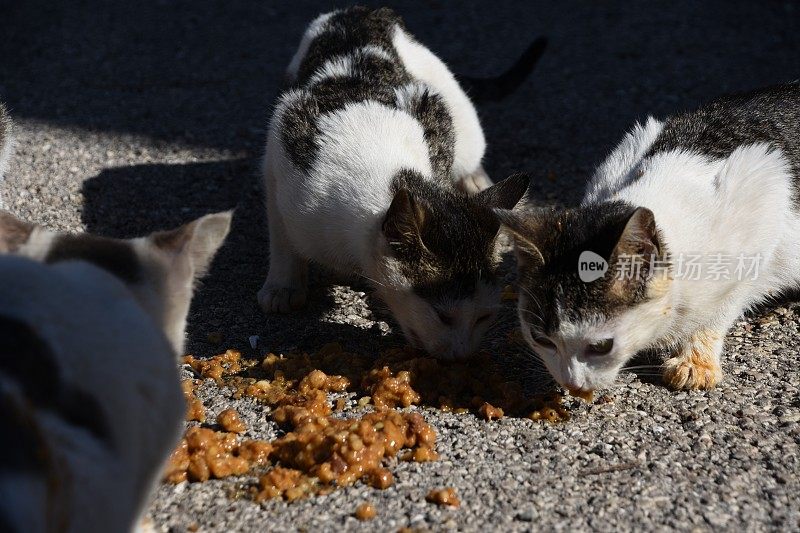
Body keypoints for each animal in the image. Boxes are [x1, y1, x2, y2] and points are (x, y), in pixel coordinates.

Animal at [260, 5, 540, 358]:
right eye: (443, 316)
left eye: (484, 317)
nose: (462, 356)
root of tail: (363, 10)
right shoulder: (280, 151)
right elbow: (281, 234)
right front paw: (282, 285)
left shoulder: (431, 107)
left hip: (459, 116)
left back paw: (476, 182)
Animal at [496, 82, 796, 390]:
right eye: (543, 341)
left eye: (601, 346)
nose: (573, 385)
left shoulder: (761, 191)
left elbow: (724, 305)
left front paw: (695, 360)